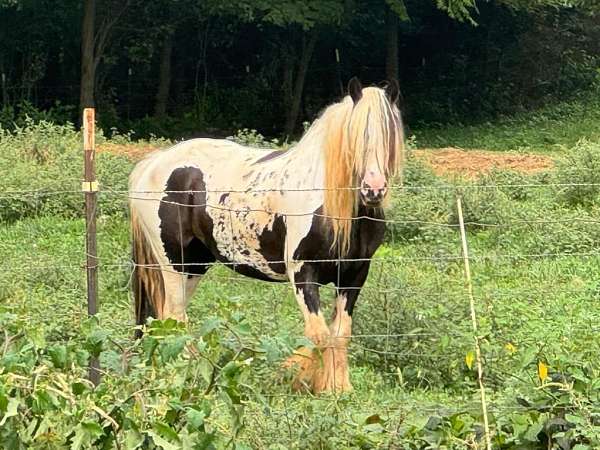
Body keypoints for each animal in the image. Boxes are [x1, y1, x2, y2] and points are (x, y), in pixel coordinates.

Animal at [129, 79, 406, 392]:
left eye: (390, 134)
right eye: (355, 135)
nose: (374, 189)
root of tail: (153, 163)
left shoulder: (354, 274)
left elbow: (339, 334)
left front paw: (337, 389)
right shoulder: (302, 273)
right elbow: (318, 334)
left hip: (195, 266)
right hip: (174, 263)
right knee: (175, 319)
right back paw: (183, 379)